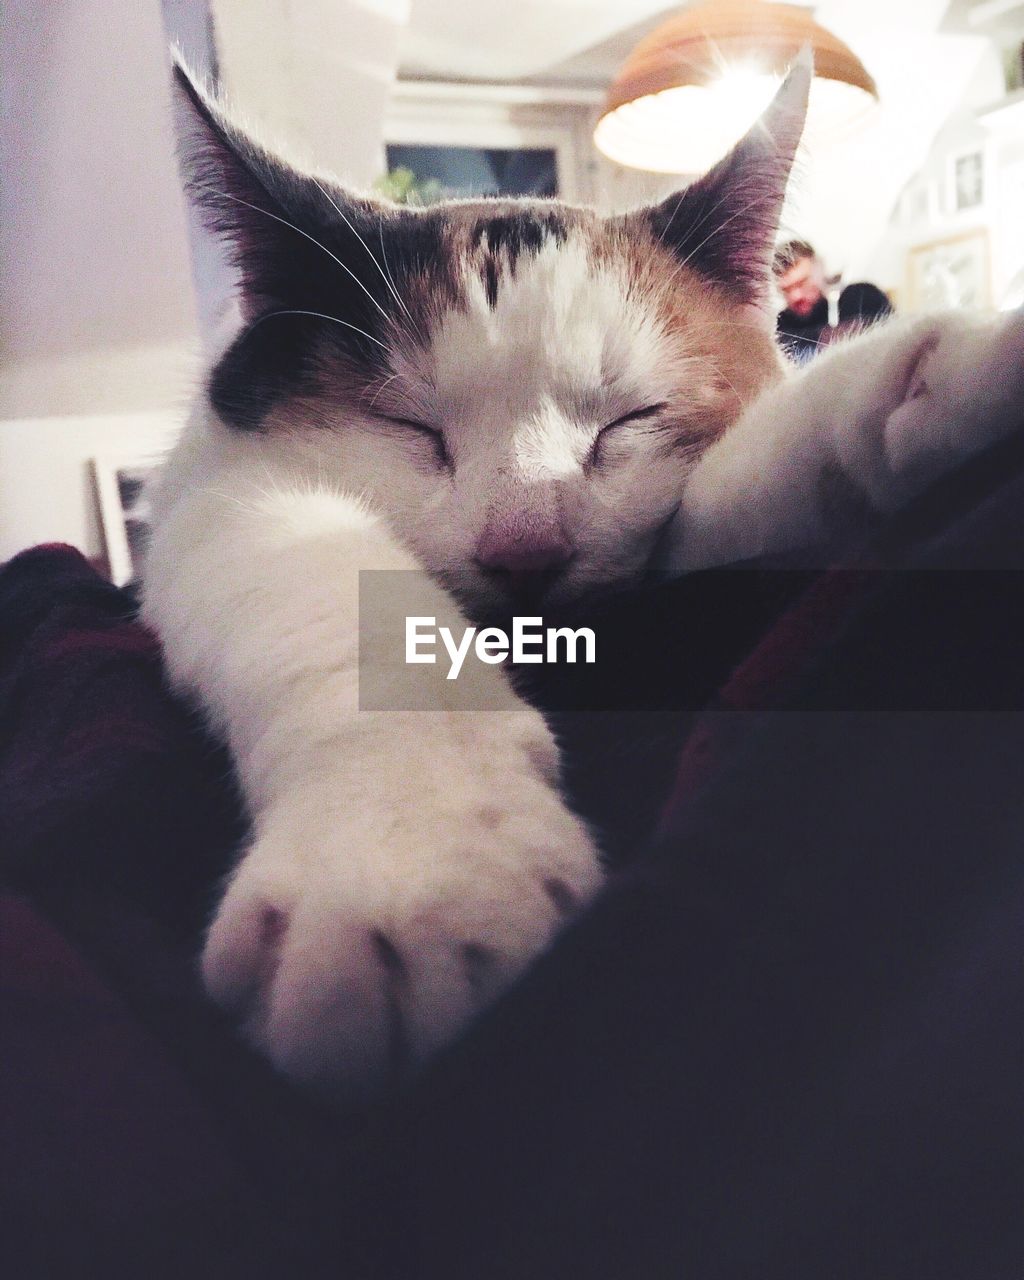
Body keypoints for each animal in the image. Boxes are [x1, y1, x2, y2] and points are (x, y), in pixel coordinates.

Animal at [142, 47, 1024, 1090]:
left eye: (631, 421)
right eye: (411, 429)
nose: (527, 547)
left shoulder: (662, 547)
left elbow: (753, 472)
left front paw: (950, 377)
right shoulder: (218, 492)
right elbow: (317, 576)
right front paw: (417, 851)